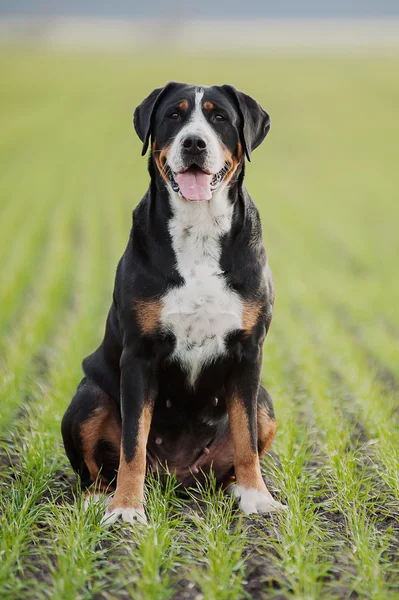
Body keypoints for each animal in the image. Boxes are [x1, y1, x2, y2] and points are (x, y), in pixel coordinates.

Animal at [61, 82, 288, 524]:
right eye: (174, 115)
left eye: (219, 117)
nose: (194, 142)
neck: (198, 231)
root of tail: (177, 477)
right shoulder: (138, 355)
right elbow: (133, 443)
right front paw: (126, 509)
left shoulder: (249, 352)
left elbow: (246, 437)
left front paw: (258, 497)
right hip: (88, 396)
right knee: (97, 468)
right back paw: (100, 498)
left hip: (265, 401)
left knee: (241, 444)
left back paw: (237, 488)